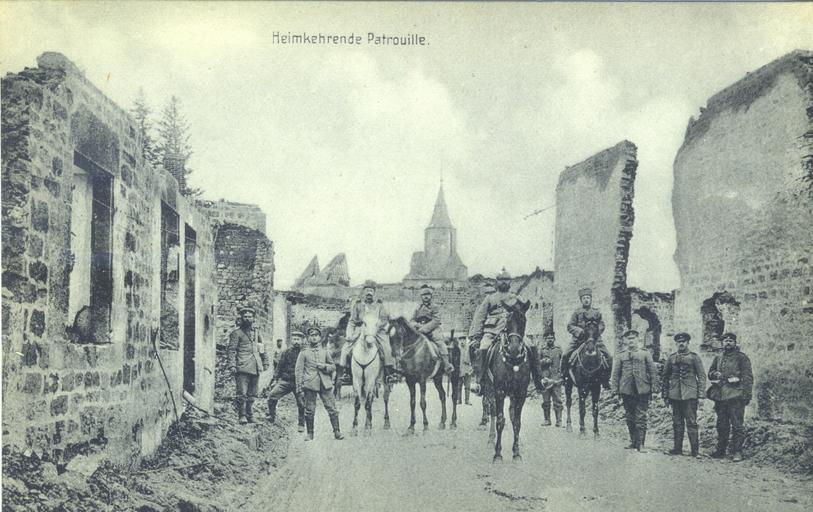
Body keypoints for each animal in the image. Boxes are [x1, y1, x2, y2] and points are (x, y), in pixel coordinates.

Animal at [483, 299, 531, 462]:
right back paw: (491, 439)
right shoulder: (499, 391)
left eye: (523, 320)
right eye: (508, 321)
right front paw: (498, 454)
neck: (513, 360)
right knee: (491, 410)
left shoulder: (521, 393)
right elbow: (500, 420)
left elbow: (516, 421)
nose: (515, 349)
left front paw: (516, 452)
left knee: (511, 413)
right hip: (490, 389)